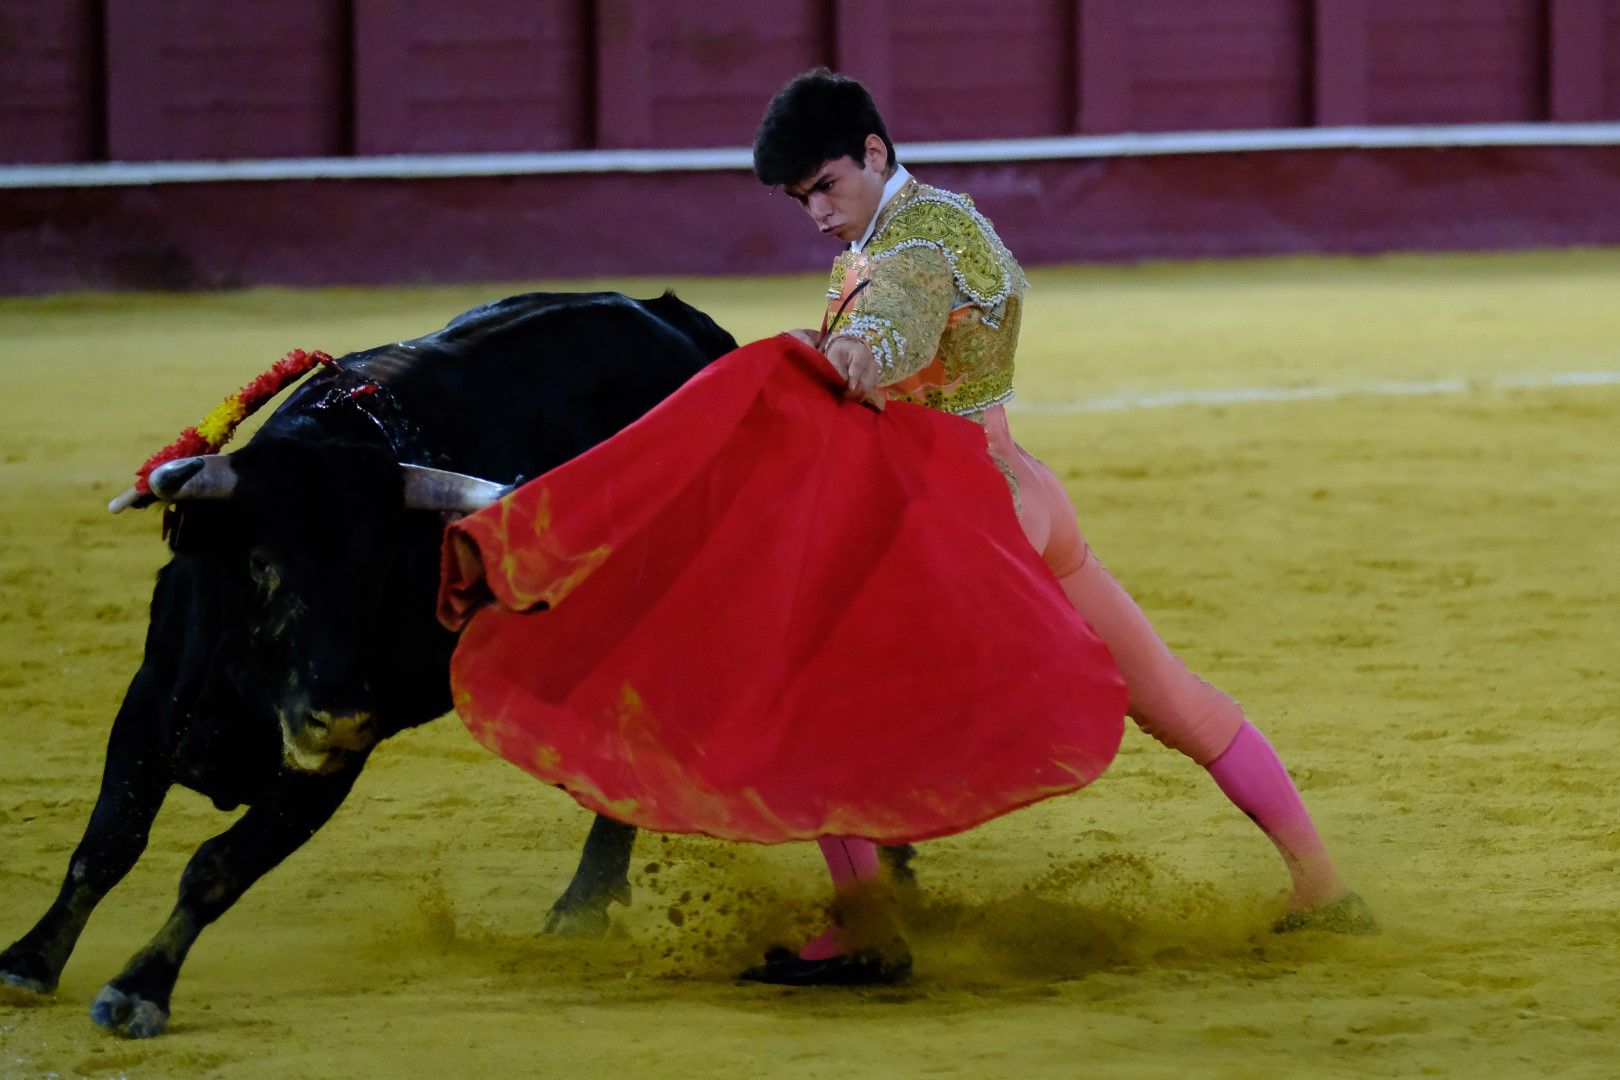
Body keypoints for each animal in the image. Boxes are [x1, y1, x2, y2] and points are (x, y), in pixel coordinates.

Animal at [0, 293, 913, 1036]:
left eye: (380, 574)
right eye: (261, 565)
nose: (338, 716)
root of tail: (684, 323)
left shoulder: (331, 766)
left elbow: (217, 866)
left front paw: (140, 989)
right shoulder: (152, 705)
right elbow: (108, 843)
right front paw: (30, 960)